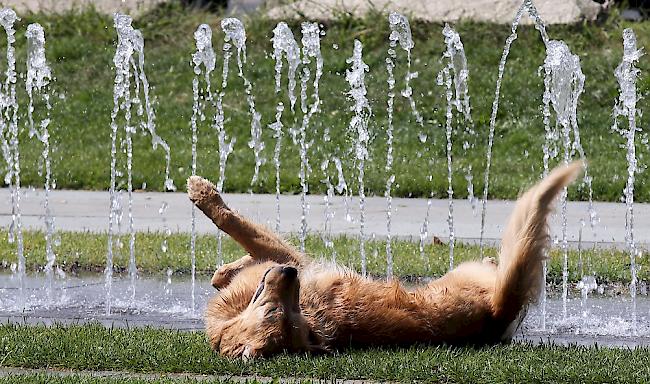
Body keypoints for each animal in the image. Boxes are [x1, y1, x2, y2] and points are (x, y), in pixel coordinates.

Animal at [187, 161, 584, 356]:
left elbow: (238, 226)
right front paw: (225, 270)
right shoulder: (284, 261)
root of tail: (499, 311)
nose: (290, 274)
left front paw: (204, 195)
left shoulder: (290, 256)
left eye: (292, 309)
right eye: (276, 311)